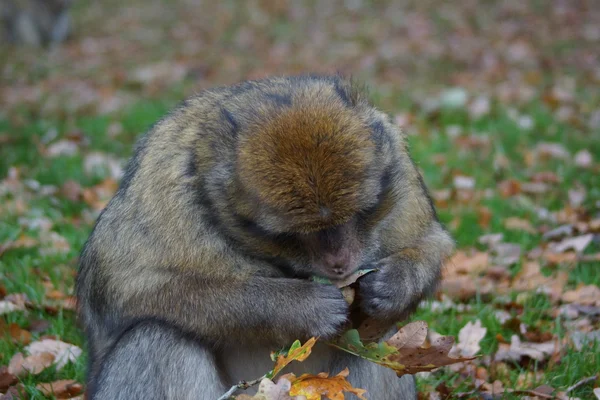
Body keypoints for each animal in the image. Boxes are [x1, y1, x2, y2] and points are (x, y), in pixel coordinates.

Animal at [77, 76, 454, 400]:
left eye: (364, 211)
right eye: (291, 234)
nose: (340, 261)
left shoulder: (397, 159)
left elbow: (429, 241)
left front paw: (394, 284)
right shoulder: (162, 183)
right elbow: (133, 289)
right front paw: (300, 306)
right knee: (156, 336)